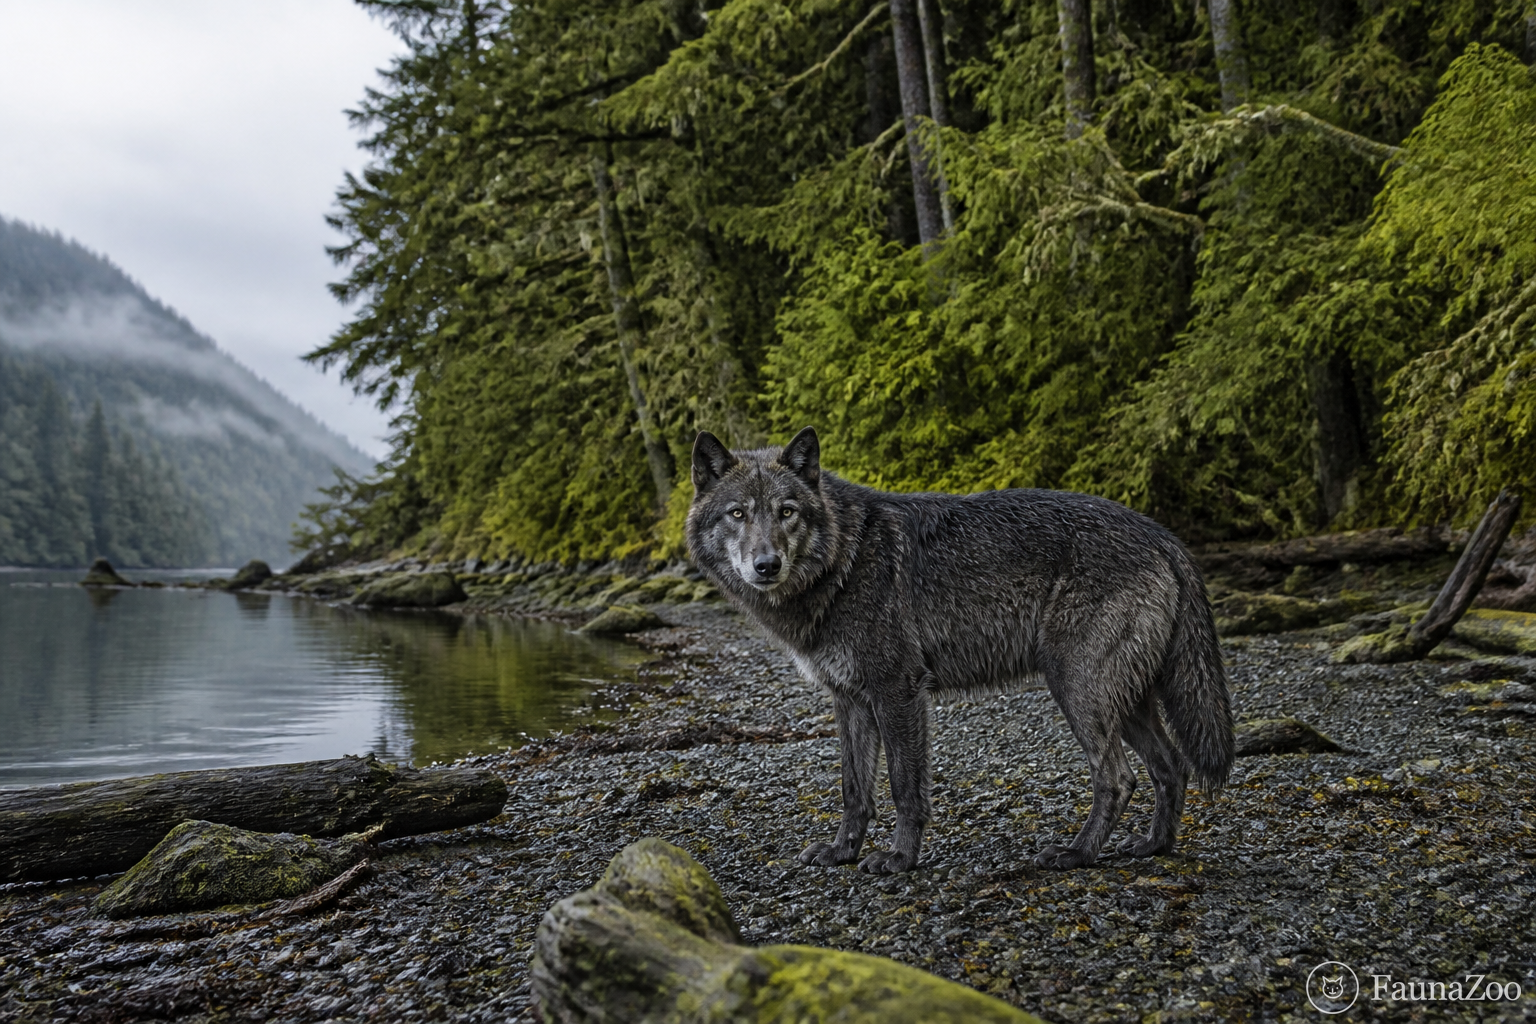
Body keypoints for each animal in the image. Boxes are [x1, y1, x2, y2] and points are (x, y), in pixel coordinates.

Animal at [686, 426, 1234, 874]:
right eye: (738, 513)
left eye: (787, 512)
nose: (766, 565)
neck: (844, 560)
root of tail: (1161, 534)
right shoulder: (850, 701)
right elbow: (854, 789)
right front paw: (843, 851)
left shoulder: (898, 693)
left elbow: (905, 787)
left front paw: (900, 859)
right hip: (1126, 702)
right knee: (1171, 766)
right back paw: (1154, 847)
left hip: (1078, 690)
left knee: (1118, 779)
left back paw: (1077, 853)